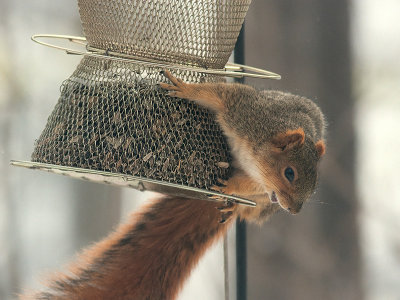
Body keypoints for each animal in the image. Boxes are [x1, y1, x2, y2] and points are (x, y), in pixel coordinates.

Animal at [24, 72, 324, 298]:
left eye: (315, 184)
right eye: (289, 172)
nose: (294, 210)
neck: (256, 158)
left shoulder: (260, 186)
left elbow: (249, 186)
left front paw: (229, 187)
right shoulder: (243, 110)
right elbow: (213, 94)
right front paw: (185, 88)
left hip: (260, 207)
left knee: (246, 208)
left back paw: (230, 204)